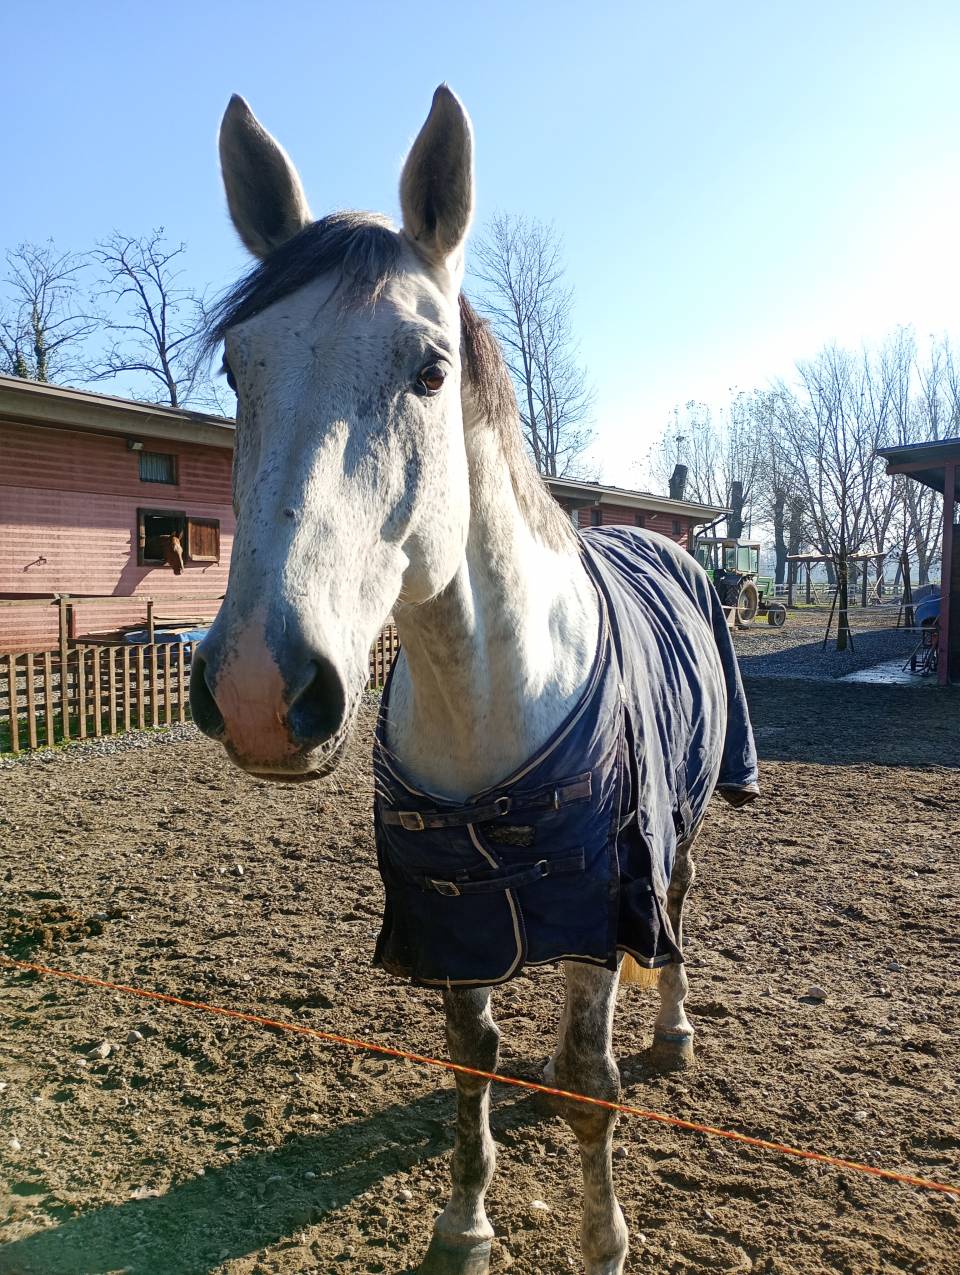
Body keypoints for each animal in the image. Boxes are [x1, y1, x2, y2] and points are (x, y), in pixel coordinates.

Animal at [190, 86, 758, 1275]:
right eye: (237, 370)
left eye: (430, 370)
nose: (263, 688)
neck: (487, 698)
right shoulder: (449, 913)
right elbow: (470, 1058)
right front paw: (462, 1226)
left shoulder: (604, 892)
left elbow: (592, 1085)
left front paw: (602, 1241)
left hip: (686, 823)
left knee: (677, 921)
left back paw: (676, 1031)